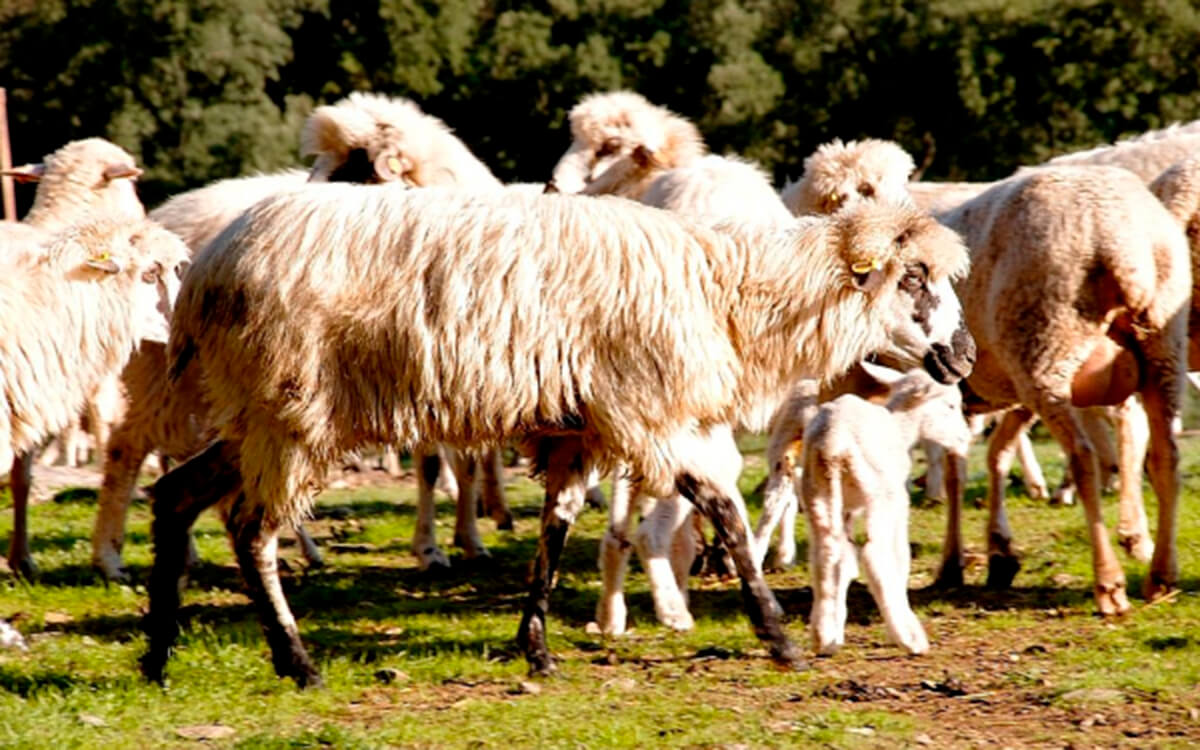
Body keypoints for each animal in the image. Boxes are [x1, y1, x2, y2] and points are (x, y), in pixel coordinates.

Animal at [804, 363, 971, 656]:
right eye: (951, 405)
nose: (966, 439)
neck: (901, 428)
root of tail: (833, 444)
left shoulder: (846, 508)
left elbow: (843, 560)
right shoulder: (899, 499)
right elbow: (900, 555)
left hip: (817, 492)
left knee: (826, 553)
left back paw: (823, 638)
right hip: (880, 493)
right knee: (875, 555)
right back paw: (910, 637)